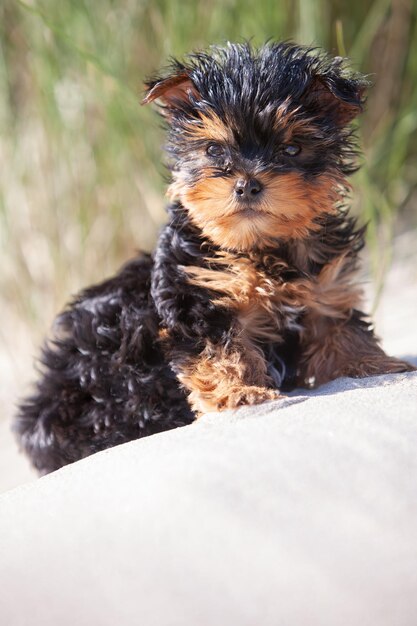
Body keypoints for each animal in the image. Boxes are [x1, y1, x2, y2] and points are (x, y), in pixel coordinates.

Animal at [16, 41, 412, 470]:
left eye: (292, 148)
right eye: (213, 149)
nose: (247, 184)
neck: (259, 245)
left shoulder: (325, 287)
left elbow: (341, 328)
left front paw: (373, 365)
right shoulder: (197, 295)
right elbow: (221, 351)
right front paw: (241, 394)